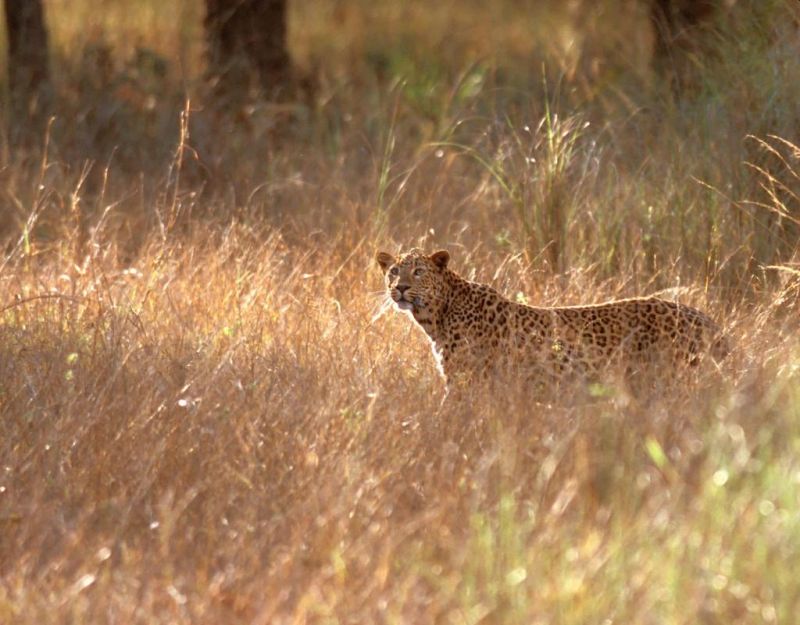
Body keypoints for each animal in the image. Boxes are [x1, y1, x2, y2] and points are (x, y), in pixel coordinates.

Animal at [378, 247, 728, 390]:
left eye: (418, 271)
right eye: (394, 271)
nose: (400, 287)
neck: (435, 317)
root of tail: (707, 319)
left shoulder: (465, 381)